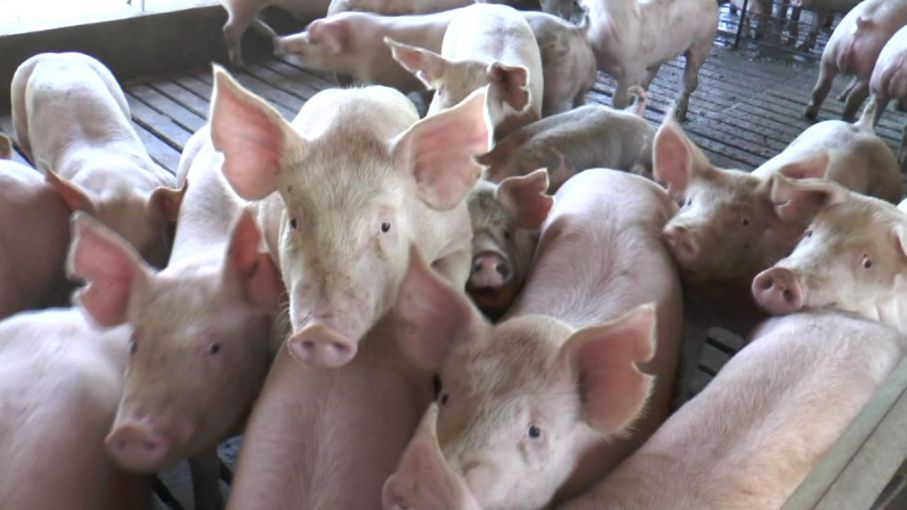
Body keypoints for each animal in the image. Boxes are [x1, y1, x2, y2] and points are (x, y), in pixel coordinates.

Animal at [582, 0, 718, 121]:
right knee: (651, 74)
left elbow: (618, 102)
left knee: (689, 81)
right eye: (588, 10)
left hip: (703, 43)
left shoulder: (631, 72)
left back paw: (678, 115)